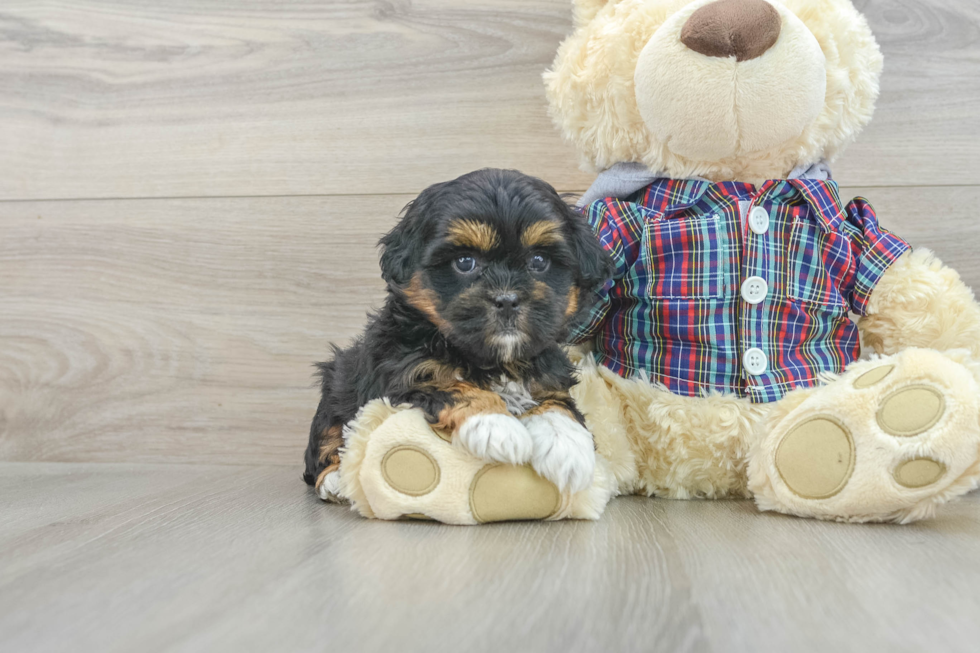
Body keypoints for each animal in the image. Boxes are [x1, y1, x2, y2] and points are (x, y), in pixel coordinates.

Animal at [304, 168, 612, 500]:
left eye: (539, 261)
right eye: (465, 262)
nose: (507, 300)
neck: (496, 359)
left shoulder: (548, 369)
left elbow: (557, 400)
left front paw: (568, 446)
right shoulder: (401, 372)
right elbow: (450, 382)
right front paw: (496, 426)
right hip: (336, 387)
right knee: (326, 438)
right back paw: (334, 478)